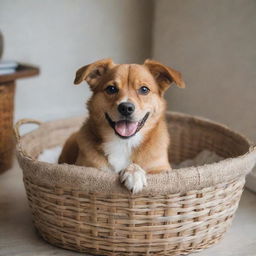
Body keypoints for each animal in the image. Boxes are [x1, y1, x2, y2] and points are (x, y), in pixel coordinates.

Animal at [58, 59, 185, 193]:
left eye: (144, 89)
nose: (126, 108)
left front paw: (134, 173)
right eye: (111, 89)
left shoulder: (162, 169)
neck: (124, 143)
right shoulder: (85, 166)